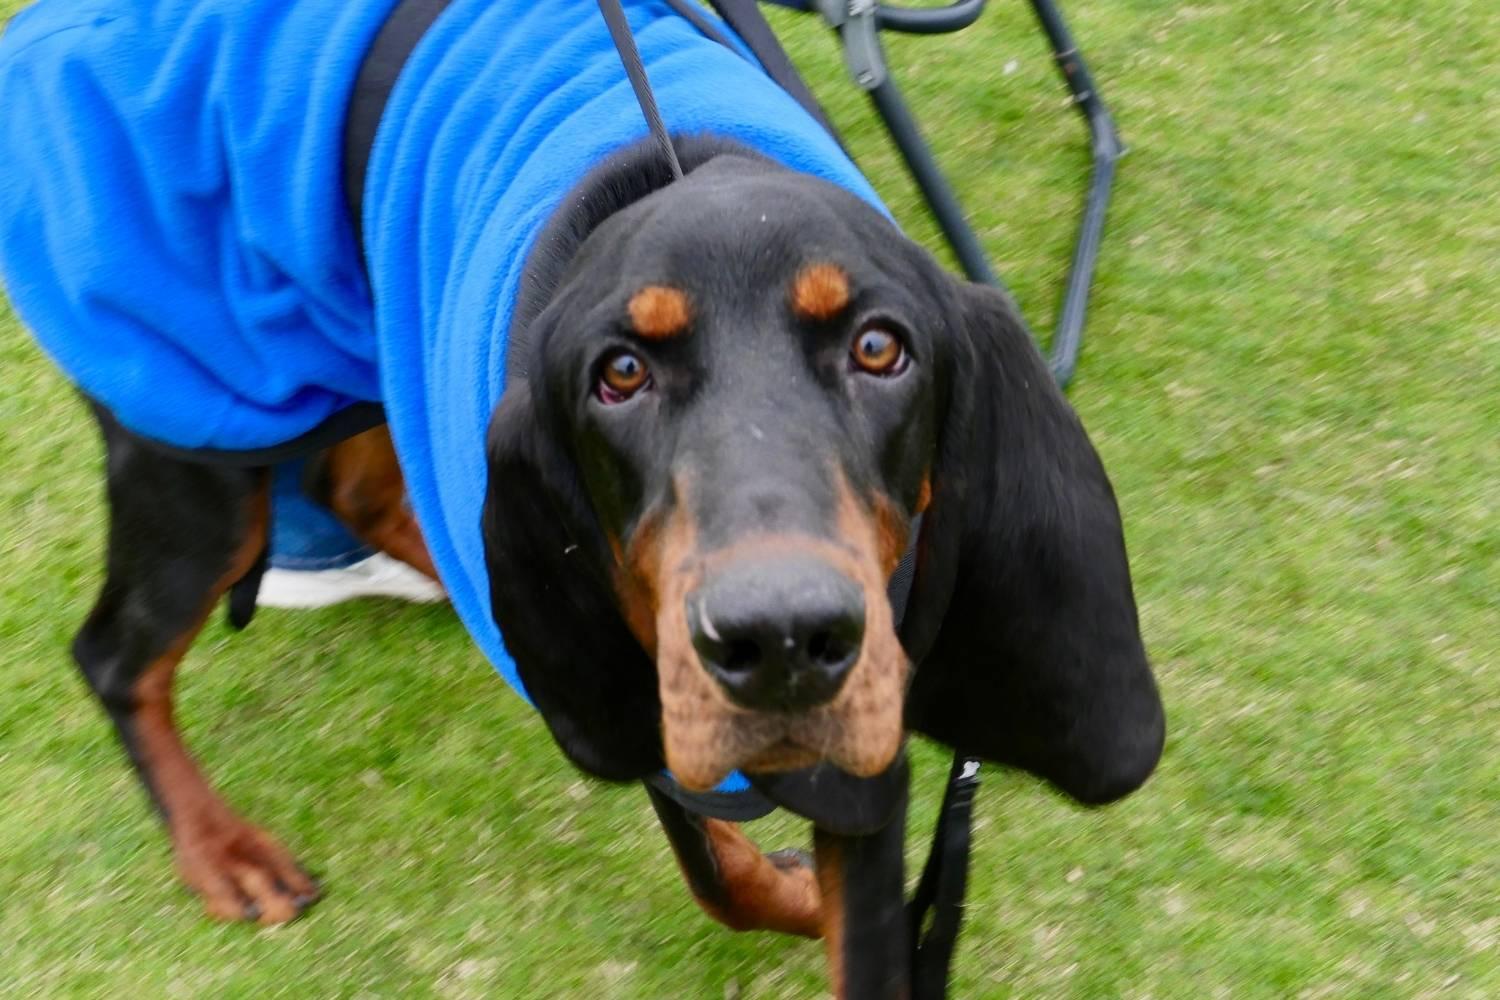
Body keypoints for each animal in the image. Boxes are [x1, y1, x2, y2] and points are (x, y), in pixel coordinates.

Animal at [0, 0, 1164, 989]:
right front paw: (787, 888)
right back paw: (222, 850)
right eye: (620, 373)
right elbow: (718, 869)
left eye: (882, 348)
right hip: (200, 432)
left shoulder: (858, 757)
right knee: (115, 657)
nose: (782, 642)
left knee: (352, 482)